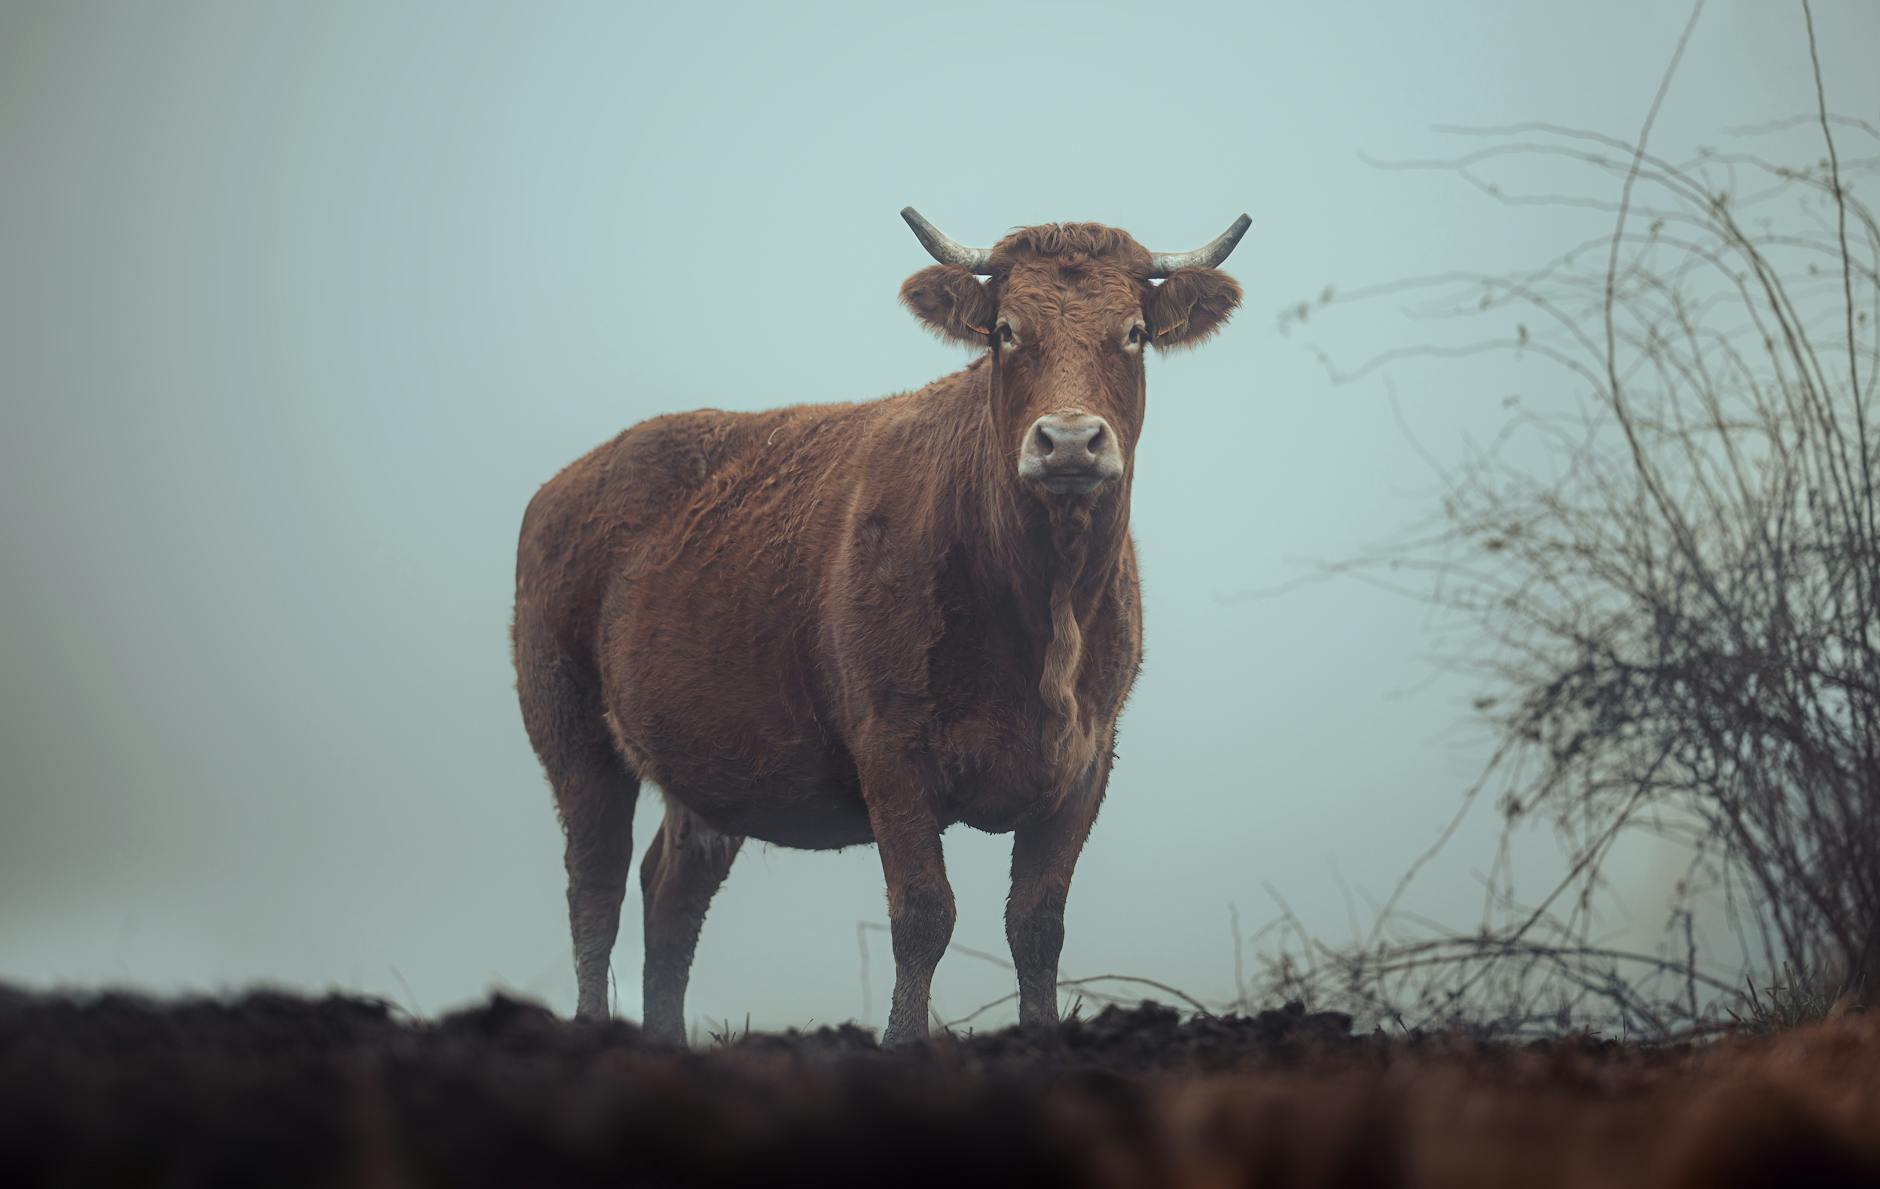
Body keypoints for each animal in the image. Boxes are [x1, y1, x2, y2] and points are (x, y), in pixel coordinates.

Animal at [512, 208, 1248, 1045]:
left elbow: (1037, 922)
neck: (1044, 612)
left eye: (1134, 332)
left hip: (705, 766)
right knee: (595, 885)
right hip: (571, 729)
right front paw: (902, 1043)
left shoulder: (1086, 758)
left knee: (670, 893)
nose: (1067, 440)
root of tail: (567, 481)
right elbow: (924, 914)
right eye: (1005, 331)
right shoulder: (891, 748)